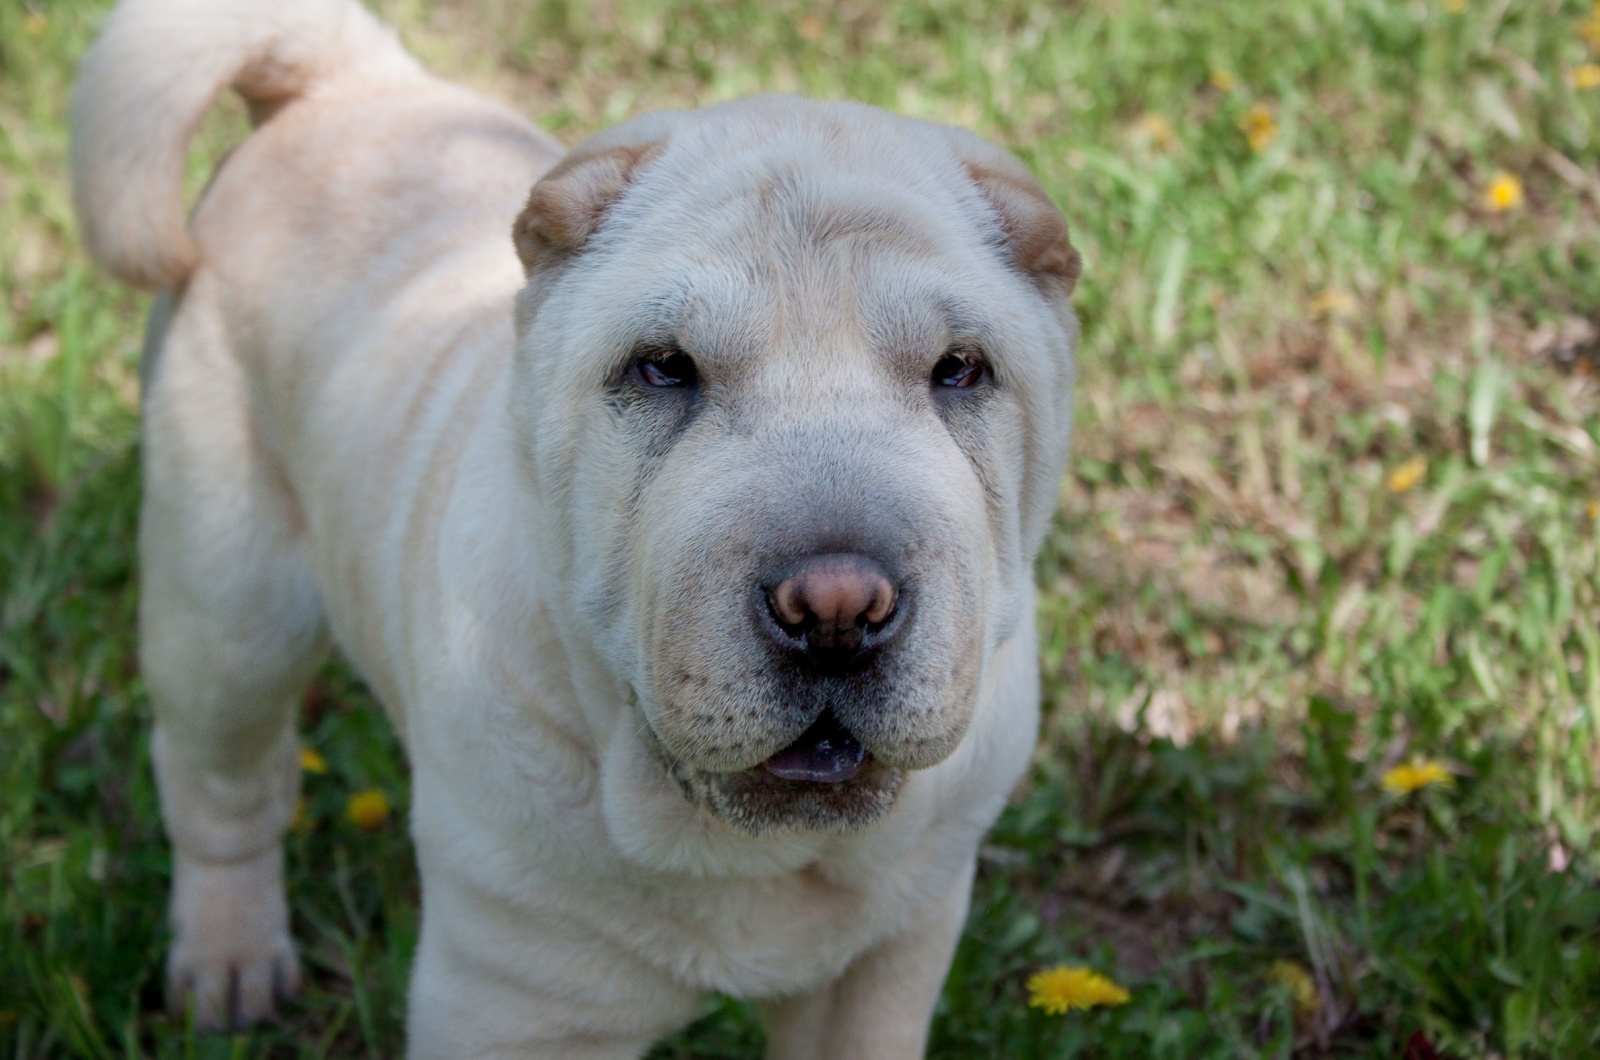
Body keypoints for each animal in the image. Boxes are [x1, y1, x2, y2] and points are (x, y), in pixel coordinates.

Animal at [68, 2, 1081, 1056]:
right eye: (664, 368)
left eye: (960, 370)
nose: (836, 606)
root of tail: (341, 82)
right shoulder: (513, 1005)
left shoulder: (886, 960)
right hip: (226, 605)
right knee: (221, 787)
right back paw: (228, 967)